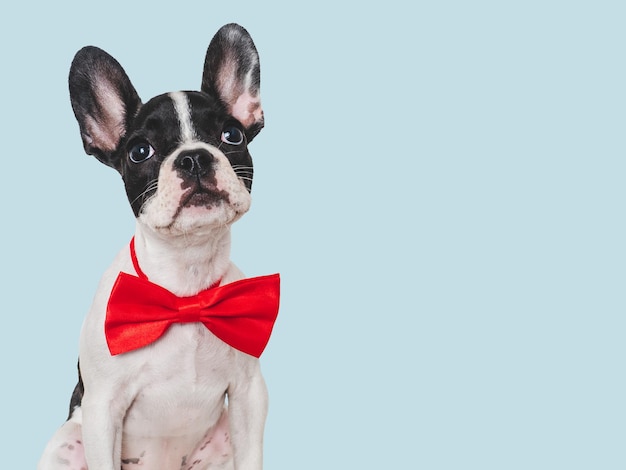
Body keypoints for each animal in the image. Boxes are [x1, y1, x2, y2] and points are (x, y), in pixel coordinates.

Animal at [36, 24, 276, 470]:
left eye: (231, 135)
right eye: (139, 151)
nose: (194, 158)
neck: (186, 285)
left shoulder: (249, 394)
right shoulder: (102, 409)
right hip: (68, 441)